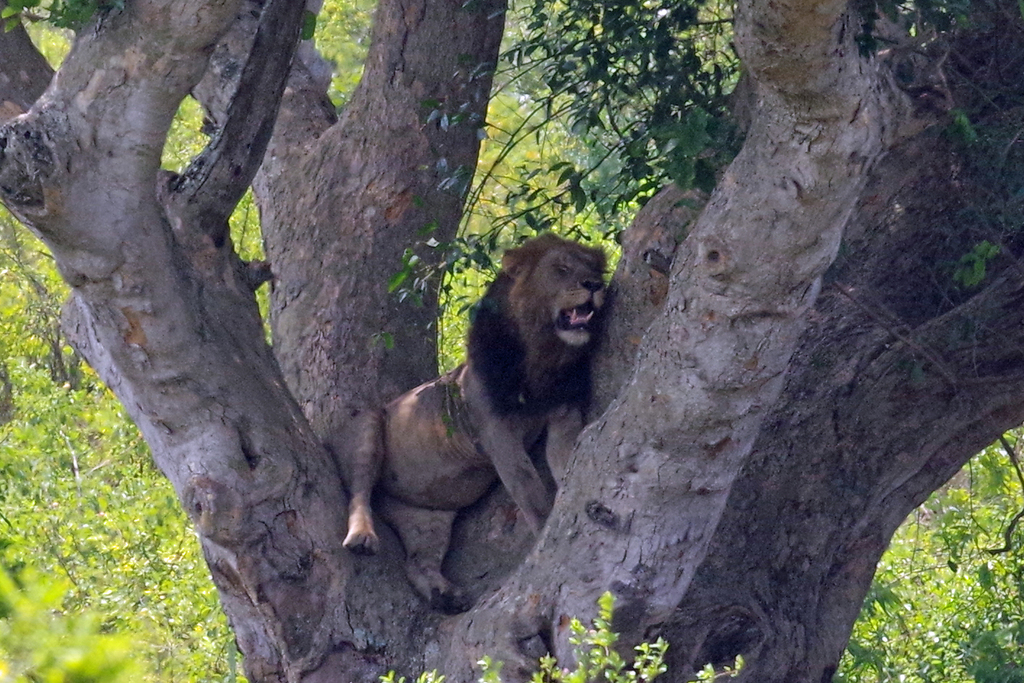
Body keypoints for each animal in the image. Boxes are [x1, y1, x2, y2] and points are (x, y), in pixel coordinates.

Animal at [344, 235, 602, 614]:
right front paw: (545, 534)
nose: (594, 285)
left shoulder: (563, 413)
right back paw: (361, 537)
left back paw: (444, 595)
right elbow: (530, 492)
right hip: (368, 425)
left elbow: (565, 459)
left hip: (428, 517)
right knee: (359, 491)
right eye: (561, 268)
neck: (542, 353)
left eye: (594, 267)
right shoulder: (497, 432)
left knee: (417, 561)